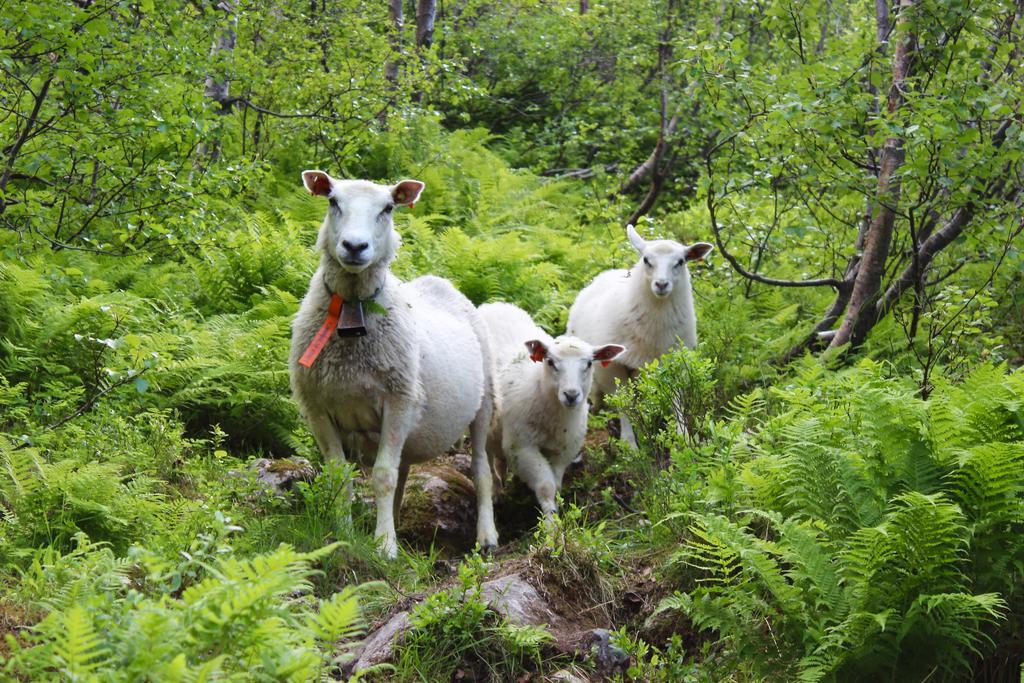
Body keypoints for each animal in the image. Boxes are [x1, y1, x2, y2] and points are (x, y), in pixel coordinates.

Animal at [288, 167, 499, 557]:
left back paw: (486, 536)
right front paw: (347, 535)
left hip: (484, 403)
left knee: (481, 471)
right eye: (333, 201)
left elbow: (382, 475)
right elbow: (343, 477)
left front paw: (385, 548)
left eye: (387, 208)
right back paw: (395, 525)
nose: (355, 247)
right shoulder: (317, 407)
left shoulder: (398, 400)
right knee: (402, 469)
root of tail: (438, 281)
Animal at [479, 301, 622, 516]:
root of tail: (493, 304)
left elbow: (556, 484)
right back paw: (495, 491)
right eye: (551, 362)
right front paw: (550, 522)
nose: (571, 395)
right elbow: (546, 486)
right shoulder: (522, 446)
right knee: (487, 457)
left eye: (589, 363)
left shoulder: (565, 449)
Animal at [569, 224, 712, 448]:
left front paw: (683, 436)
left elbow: (676, 397)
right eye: (646, 260)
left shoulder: (673, 359)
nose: (661, 284)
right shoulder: (614, 365)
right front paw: (629, 443)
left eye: (680, 261)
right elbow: (624, 401)